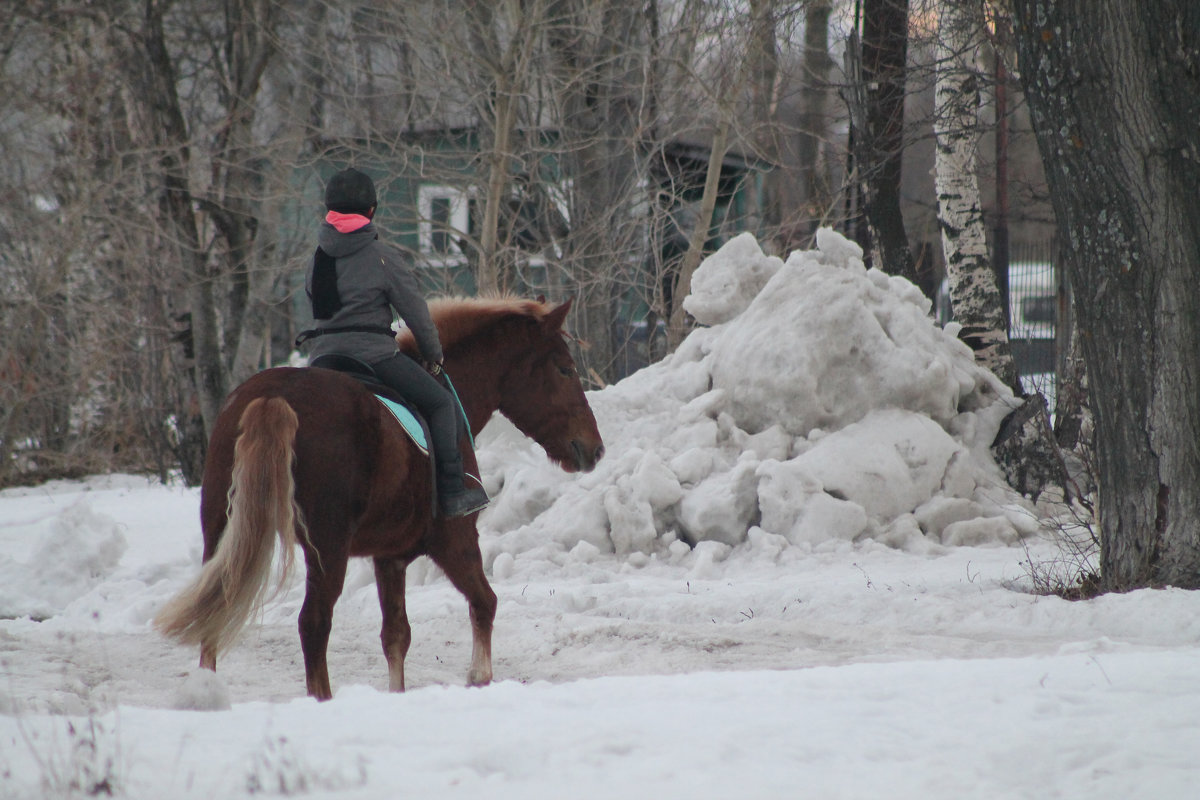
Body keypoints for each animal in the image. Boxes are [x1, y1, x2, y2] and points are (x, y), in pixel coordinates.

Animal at [154, 296, 604, 700]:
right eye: (565, 369)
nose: (594, 449)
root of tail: (272, 399)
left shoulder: (390, 557)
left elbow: (396, 636)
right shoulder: (454, 540)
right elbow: (484, 602)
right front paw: (479, 678)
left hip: (223, 533)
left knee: (216, 611)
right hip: (328, 548)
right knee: (313, 624)